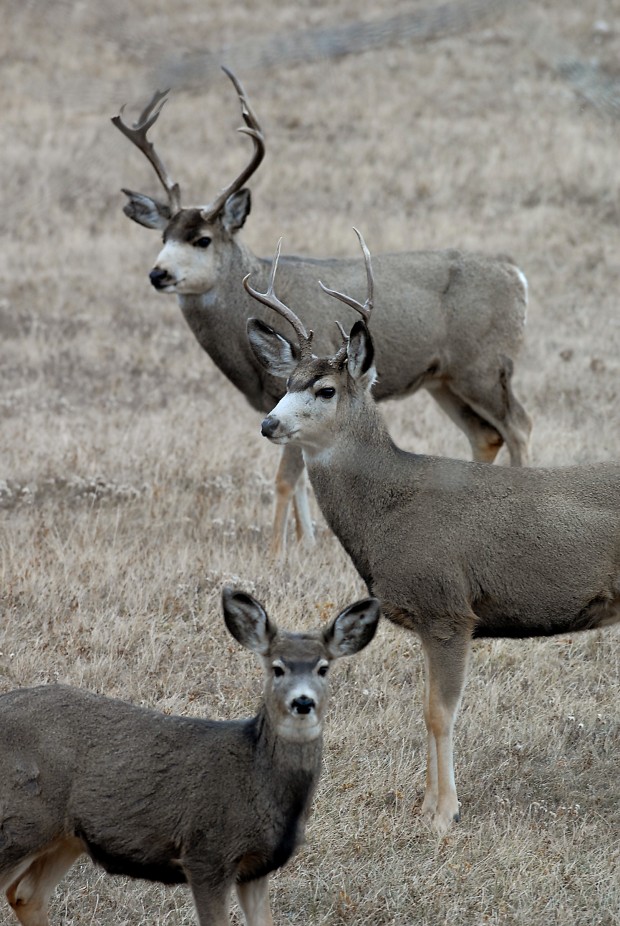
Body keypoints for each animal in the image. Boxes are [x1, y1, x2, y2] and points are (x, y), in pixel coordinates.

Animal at [0, 587, 380, 926]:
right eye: (277, 668)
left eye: (323, 668)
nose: (302, 702)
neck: (257, 778)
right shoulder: (207, 853)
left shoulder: (255, 867)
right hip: (21, 821)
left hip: (64, 837)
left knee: (26, 895)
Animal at [112, 67, 532, 556]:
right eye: (162, 236)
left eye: (202, 239)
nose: (158, 273)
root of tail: (518, 276)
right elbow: (298, 477)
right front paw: (306, 541)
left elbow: (284, 479)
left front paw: (276, 551)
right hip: (443, 379)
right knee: (486, 434)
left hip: (485, 366)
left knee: (519, 425)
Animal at [243, 230, 620, 836]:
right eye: (286, 382)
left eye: (325, 390)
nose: (269, 423)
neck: (391, 510)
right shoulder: (426, 618)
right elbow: (424, 710)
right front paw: (424, 804)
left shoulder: (449, 608)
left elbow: (440, 713)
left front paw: (444, 814)